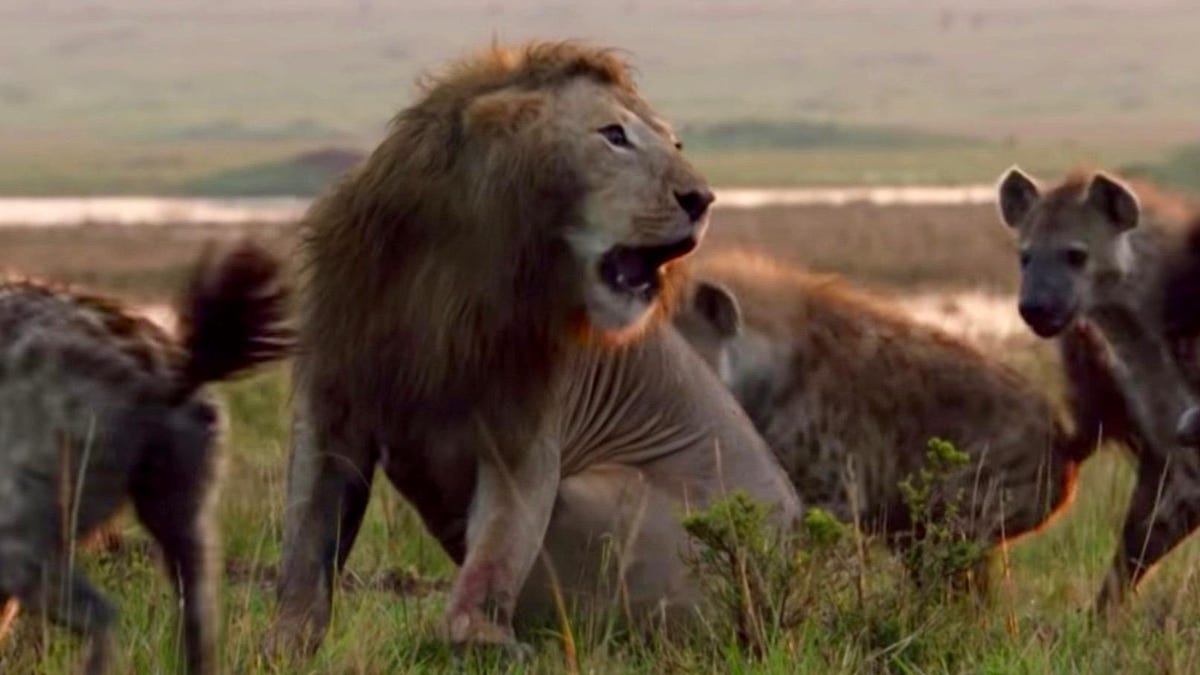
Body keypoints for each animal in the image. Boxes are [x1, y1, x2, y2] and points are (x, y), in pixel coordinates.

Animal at [268, 41, 801, 654]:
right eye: (614, 136)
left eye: (676, 144)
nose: (702, 198)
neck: (451, 273)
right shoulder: (332, 402)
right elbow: (306, 543)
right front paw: (284, 644)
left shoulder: (524, 435)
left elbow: (498, 549)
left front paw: (480, 639)